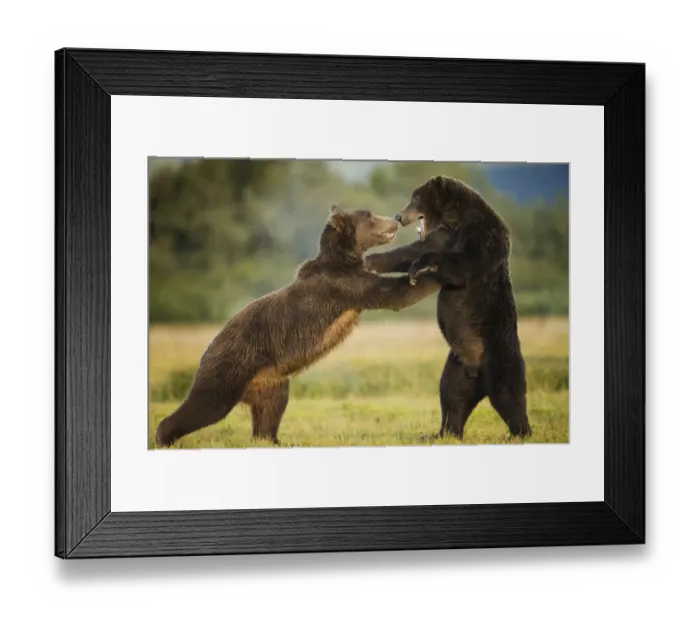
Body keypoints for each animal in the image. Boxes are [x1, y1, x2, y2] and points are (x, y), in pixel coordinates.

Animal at [155, 205, 441, 447]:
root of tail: (211, 344)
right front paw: (431, 274)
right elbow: (393, 294)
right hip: (231, 365)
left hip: (273, 382)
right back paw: (164, 437)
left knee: (270, 412)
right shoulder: (344, 286)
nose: (394, 219)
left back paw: (274, 440)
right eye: (369, 216)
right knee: (207, 404)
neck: (345, 259)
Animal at [365, 175, 533, 441]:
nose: (400, 216)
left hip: (500, 353)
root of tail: (477, 372)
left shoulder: (482, 236)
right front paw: (372, 260)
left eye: (415, 197)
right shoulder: (443, 235)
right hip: (457, 363)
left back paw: (519, 432)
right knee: (452, 395)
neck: (456, 220)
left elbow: (463, 264)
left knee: (509, 393)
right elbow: (410, 250)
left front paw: (418, 267)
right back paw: (443, 433)